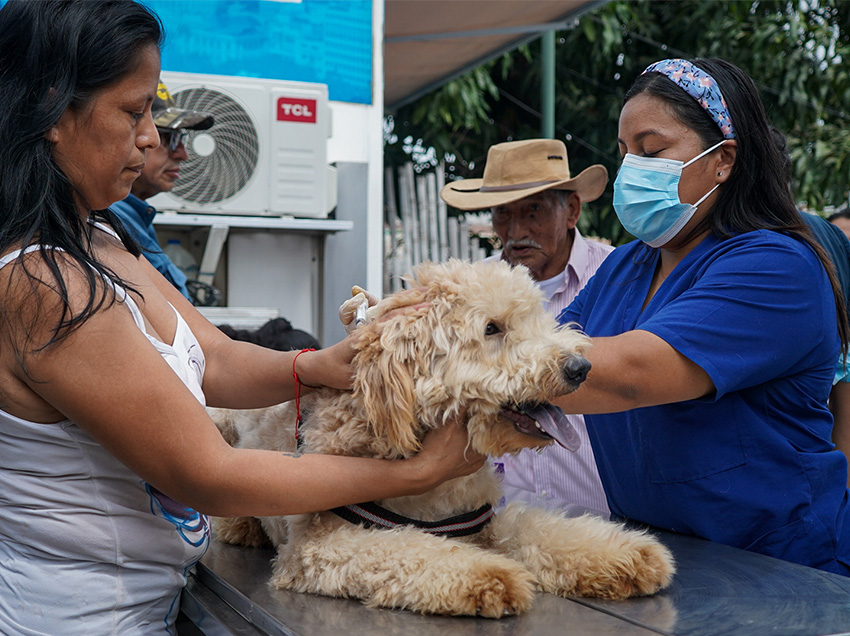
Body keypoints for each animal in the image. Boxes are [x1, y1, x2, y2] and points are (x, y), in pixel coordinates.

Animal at [212, 258, 676, 616]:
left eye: (540, 319)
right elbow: (409, 550)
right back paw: (239, 524)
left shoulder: (483, 519)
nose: (580, 367)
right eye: (492, 328)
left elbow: (537, 529)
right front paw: (489, 576)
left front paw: (624, 556)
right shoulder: (318, 545)